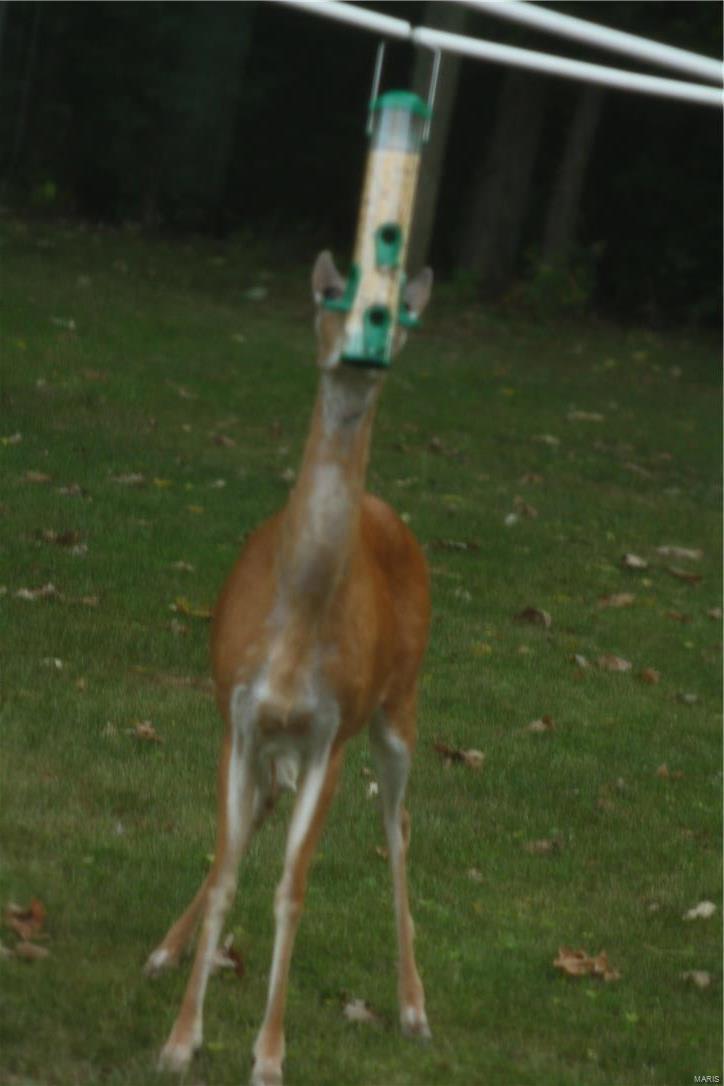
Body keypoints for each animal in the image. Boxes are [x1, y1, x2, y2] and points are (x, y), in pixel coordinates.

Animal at [144, 250, 433, 1086]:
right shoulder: (237, 719)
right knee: (264, 812)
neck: (298, 620)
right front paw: (180, 1041)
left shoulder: (329, 735)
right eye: (330, 295)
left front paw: (268, 1055)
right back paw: (163, 951)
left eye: (400, 309)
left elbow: (293, 888)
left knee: (398, 823)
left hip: (398, 703)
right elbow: (228, 871)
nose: (364, 347)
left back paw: (413, 1008)